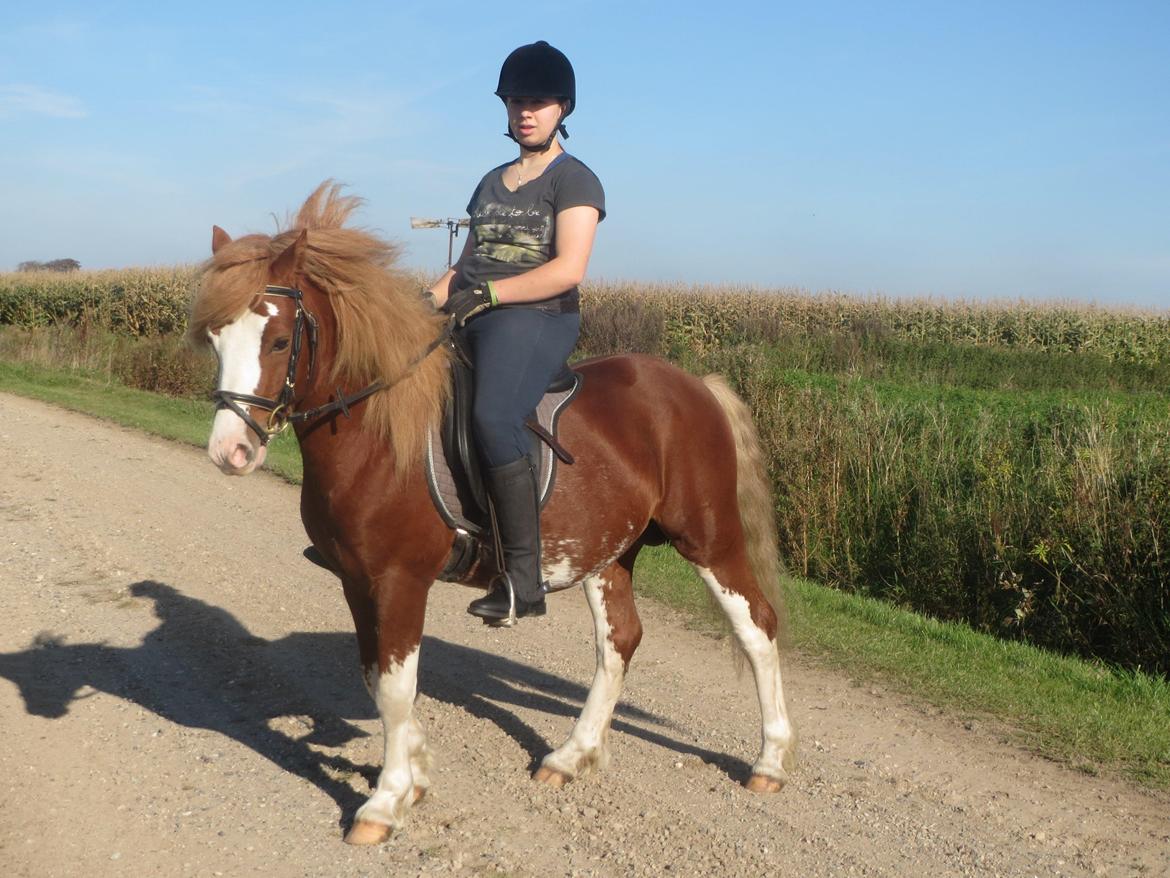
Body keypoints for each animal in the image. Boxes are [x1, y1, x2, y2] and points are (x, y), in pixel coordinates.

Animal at [191, 180, 795, 847]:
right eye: (215, 338)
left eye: (278, 341)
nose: (230, 452)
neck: (379, 432)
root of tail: (693, 385)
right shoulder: (357, 579)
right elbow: (377, 679)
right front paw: (415, 774)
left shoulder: (399, 580)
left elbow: (396, 687)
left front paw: (384, 803)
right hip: (608, 553)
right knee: (620, 641)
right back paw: (570, 756)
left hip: (708, 538)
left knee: (757, 627)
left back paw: (769, 762)